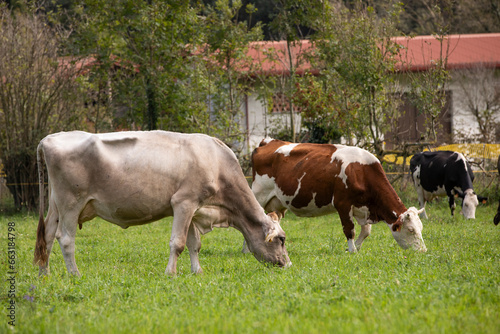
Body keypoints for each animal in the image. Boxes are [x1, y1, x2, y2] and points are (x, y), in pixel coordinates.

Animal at [34, 131, 290, 276]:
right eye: (281, 239)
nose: (287, 265)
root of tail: (49, 138)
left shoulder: (195, 208)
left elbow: (194, 244)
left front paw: (197, 271)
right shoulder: (183, 202)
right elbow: (178, 243)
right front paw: (170, 273)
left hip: (55, 205)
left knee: (47, 236)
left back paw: (44, 274)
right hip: (71, 203)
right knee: (65, 239)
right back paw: (75, 274)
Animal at [245, 138, 426, 253]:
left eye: (421, 228)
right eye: (411, 230)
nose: (423, 251)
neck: (360, 171)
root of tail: (268, 142)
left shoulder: (362, 208)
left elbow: (366, 231)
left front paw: (354, 248)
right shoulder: (343, 204)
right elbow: (349, 230)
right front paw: (352, 250)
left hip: (278, 203)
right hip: (258, 196)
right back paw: (247, 250)